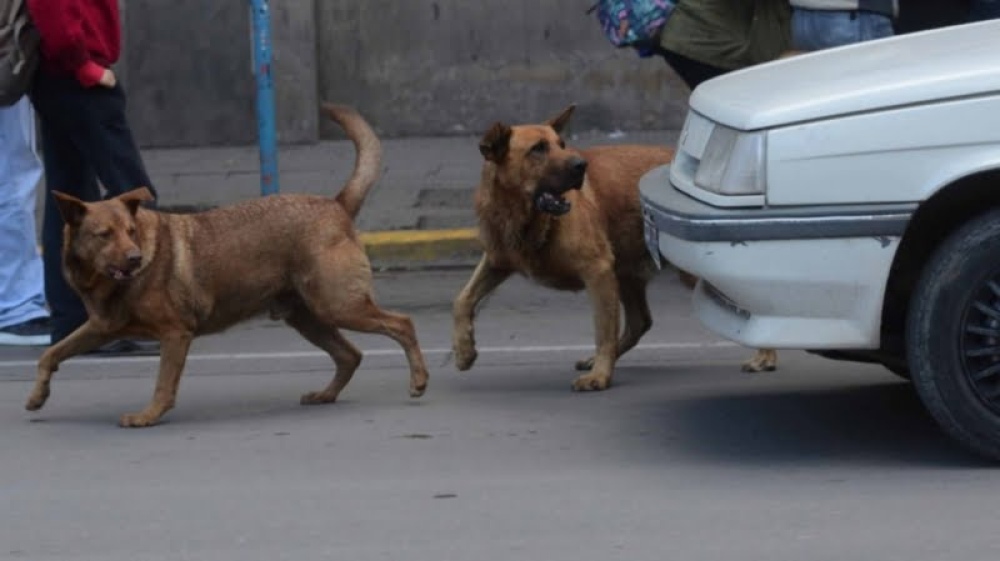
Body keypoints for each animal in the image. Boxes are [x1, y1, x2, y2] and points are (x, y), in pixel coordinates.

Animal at [24, 105, 430, 426]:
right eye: (104, 234)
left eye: (130, 231)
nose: (136, 258)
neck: (102, 281)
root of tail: (337, 204)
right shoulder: (99, 327)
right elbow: (50, 354)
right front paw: (37, 396)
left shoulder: (175, 333)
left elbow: (163, 384)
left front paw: (148, 415)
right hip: (308, 316)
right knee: (350, 355)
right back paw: (325, 395)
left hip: (338, 304)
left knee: (402, 324)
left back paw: (419, 380)